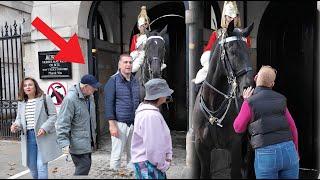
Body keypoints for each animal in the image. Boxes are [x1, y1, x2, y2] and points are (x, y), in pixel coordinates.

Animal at [192, 20, 255, 179]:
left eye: (249, 51)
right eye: (232, 51)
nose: (248, 86)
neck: (213, 103)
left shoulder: (235, 147)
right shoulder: (202, 148)